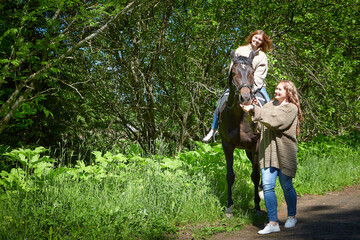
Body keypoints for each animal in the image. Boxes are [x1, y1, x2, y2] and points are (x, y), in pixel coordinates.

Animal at [218, 48, 260, 216]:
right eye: (234, 72)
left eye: (252, 72)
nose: (245, 98)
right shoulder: (227, 145)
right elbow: (230, 176)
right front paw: (229, 207)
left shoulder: (256, 145)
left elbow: (255, 175)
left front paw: (257, 206)